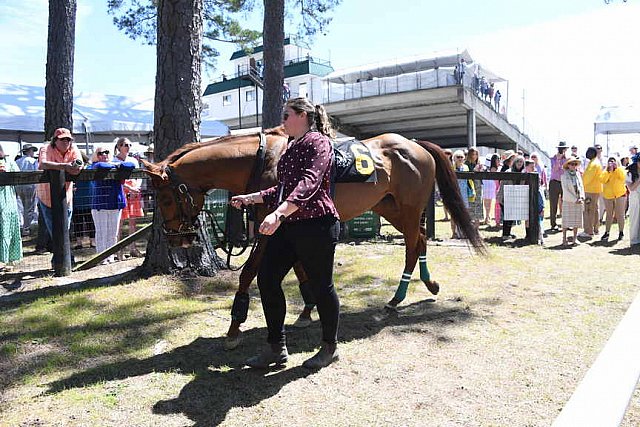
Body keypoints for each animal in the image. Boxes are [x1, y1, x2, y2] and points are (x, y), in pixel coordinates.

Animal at [142, 126, 484, 348]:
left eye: (166, 199)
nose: (177, 239)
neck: (264, 160)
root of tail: (416, 145)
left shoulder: (270, 227)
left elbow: (249, 273)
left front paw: (235, 325)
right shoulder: (289, 228)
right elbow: (302, 269)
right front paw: (308, 309)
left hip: (410, 209)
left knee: (413, 245)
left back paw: (397, 298)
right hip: (390, 208)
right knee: (422, 239)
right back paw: (428, 284)